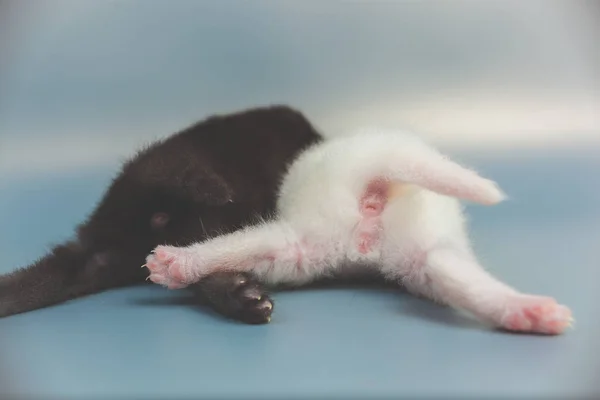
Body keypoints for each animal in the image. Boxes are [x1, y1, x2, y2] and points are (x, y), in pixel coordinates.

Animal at [144, 128, 572, 334]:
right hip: (415, 247)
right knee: (454, 272)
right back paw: (527, 311)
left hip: (313, 233)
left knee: (243, 243)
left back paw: (177, 262)